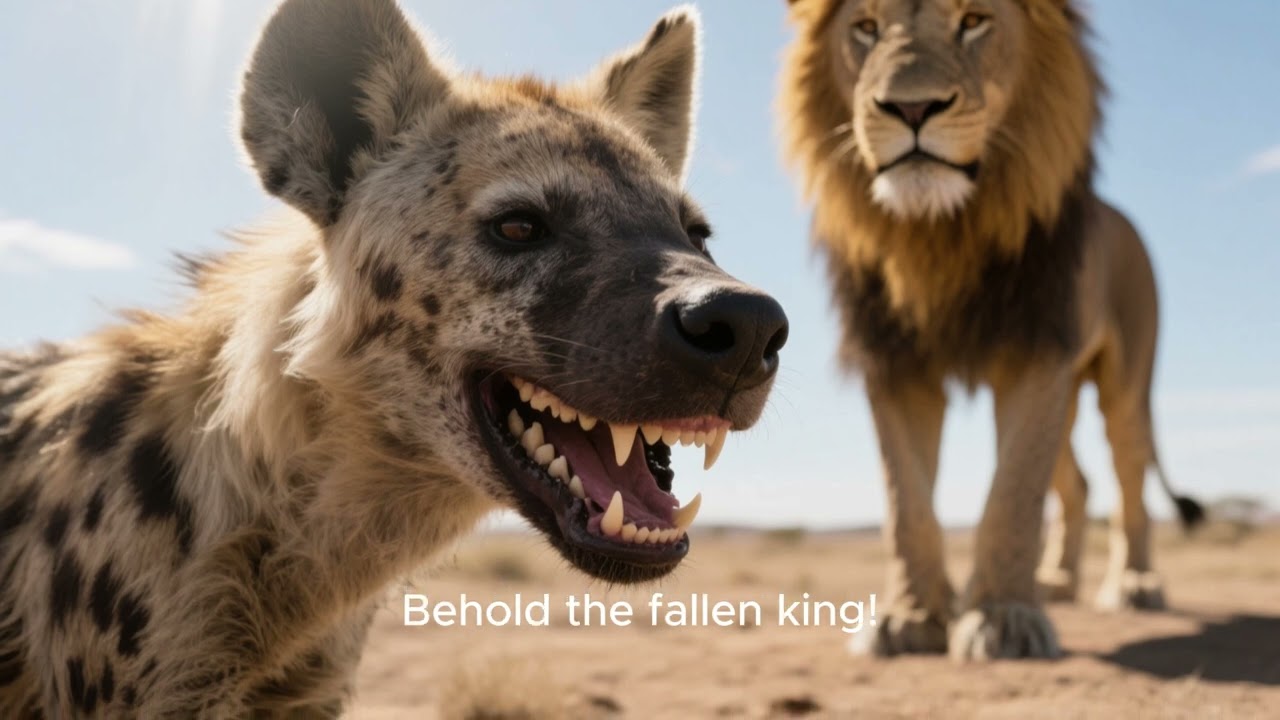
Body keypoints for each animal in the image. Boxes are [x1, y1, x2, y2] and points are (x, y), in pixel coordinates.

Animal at [779, 0, 1202, 660]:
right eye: (866, 28)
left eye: (974, 20)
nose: (912, 109)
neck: (938, 234)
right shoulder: (893, 363)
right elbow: (905, 500)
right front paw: (909, 617)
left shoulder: (1035, 355)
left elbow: (1013, 493)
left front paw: (1002, 619)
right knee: (1077, 482)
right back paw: (1056, 580)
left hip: (1126, 381)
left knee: (1129, 477)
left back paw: (1134, 583)